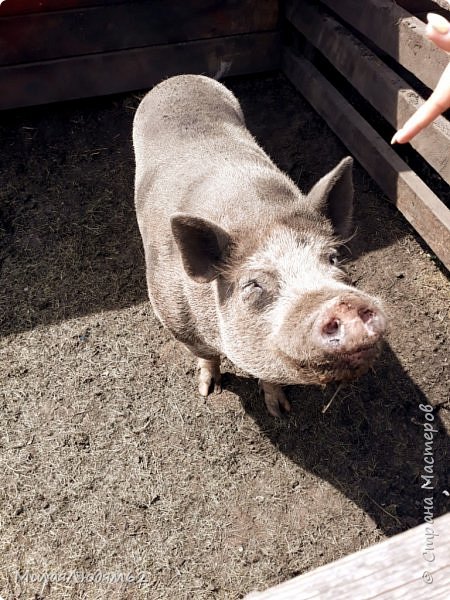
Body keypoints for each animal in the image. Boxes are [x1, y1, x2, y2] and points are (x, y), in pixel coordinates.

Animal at [133, 75, 386, 418]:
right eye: (252, 284)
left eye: (333, 259)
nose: (342, 304)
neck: (260, 216)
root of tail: (179, 78)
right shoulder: (174, 319)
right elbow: (207, 356)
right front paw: (208, 390)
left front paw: (280, 411)